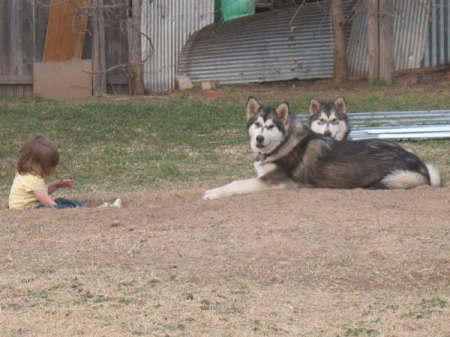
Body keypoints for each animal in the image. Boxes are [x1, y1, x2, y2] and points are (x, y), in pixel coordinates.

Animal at [204, 96, 442, 200]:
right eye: (257, 124)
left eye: (271, 126)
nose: (259, 139)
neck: (284, 143)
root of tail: (420, 165)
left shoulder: (274, 182)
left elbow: (236, 183)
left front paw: (213, 192)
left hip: (393, 177)